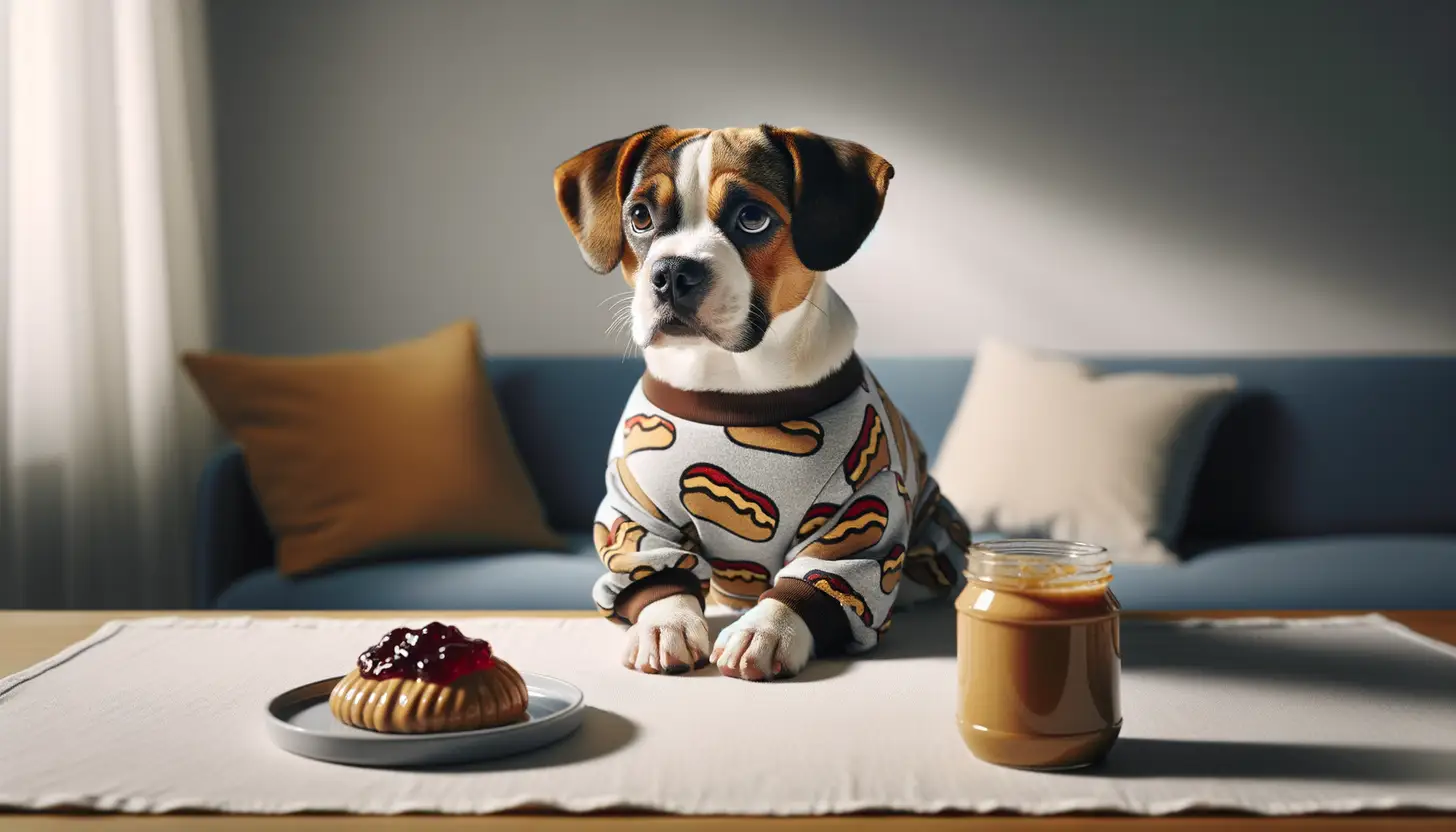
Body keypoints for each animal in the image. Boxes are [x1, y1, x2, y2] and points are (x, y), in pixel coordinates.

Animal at [550, 126, 972, 679]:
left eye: (752, 218)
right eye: (639, 216)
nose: (672, 271)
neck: (732, 389)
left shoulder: (864, 505)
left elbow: (820, 576)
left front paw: (767, 631)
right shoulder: (634, 506)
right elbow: (653, 566)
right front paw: (664, 623)